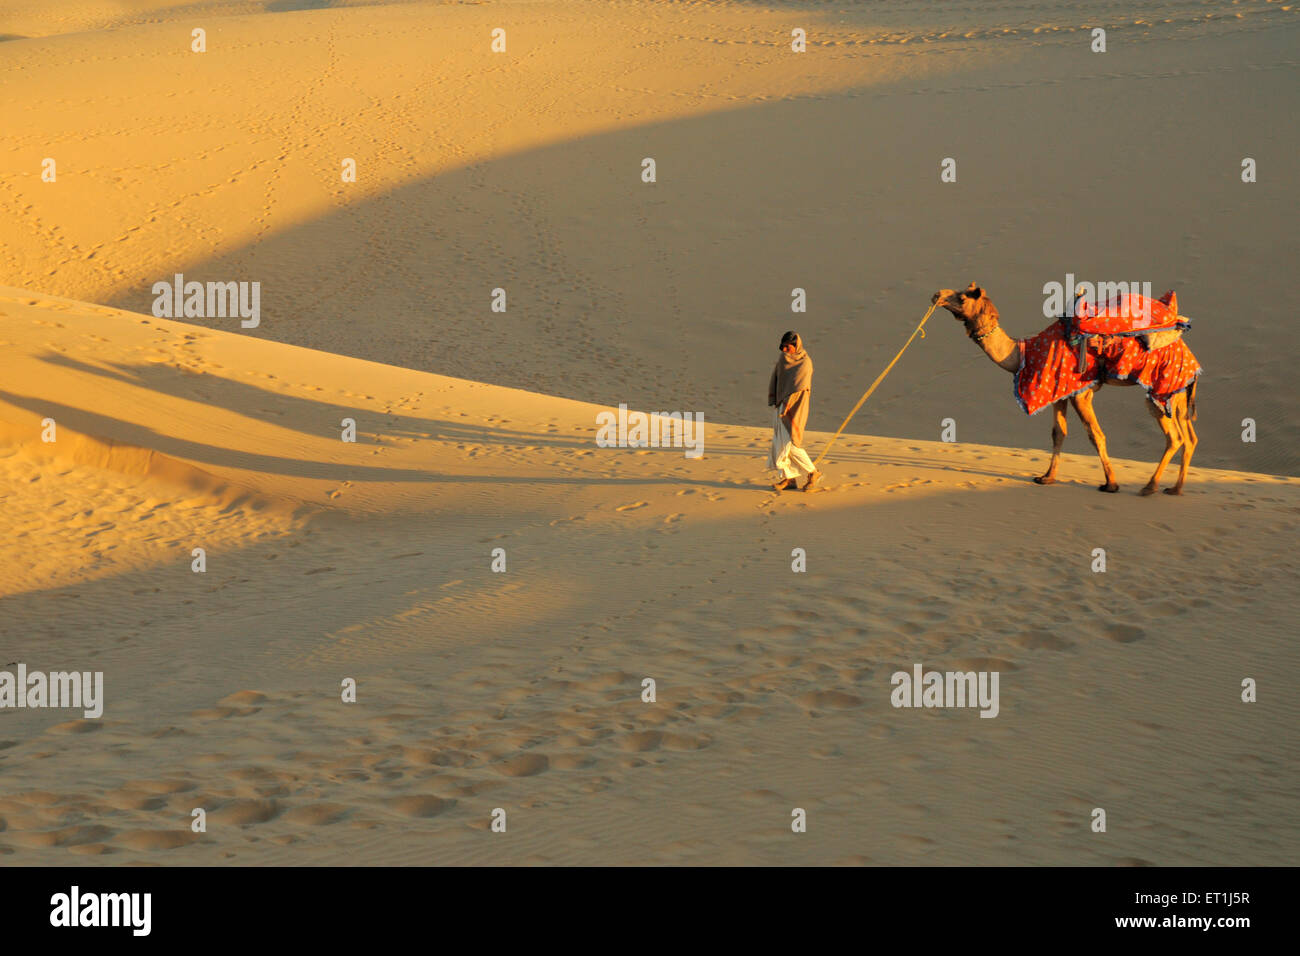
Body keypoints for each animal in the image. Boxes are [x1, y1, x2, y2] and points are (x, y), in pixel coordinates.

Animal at [935, 282, 1196, 494]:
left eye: (962, 297)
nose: (938, 294)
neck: (1023, 354)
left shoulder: (1081, 393)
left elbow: (1095, 435)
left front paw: (1111, 484)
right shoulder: (1059, 390)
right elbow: (1058, 433)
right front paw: (1046, 477)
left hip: (1159, 388)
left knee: (1174, 436)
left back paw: (1149, 487)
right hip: (1179, 390)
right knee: (1189, 437)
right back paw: (1175, 489)